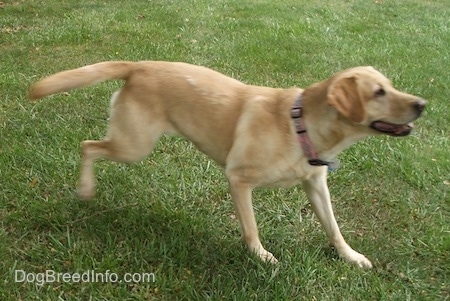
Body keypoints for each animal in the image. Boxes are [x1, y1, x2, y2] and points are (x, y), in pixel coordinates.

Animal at [29, 61, 426, 268]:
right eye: (378, 93)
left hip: (132, 144)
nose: (422, 104)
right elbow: (250, 228)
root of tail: (139, 66)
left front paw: (350, 256)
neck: (299, 125)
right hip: (133, 146)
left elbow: (334, 227)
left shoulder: (315, 185)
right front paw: (261, 258)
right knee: (87, 146)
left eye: (390, 85)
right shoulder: (239, 179)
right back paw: (85, 188)